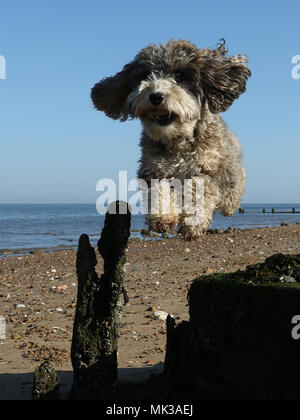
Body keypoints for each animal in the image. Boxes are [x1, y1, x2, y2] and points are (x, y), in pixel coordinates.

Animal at [91, 39, 251, 240]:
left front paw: (192, 224)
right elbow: (158, 192)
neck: (177, 141)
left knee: (232, 193)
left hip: (231, 174)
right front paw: (163, 217)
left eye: (180, 75)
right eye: (146, 75)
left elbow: (200, 194)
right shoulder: (155, 169)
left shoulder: (205, 169)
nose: (156, 96)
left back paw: (230, 204)